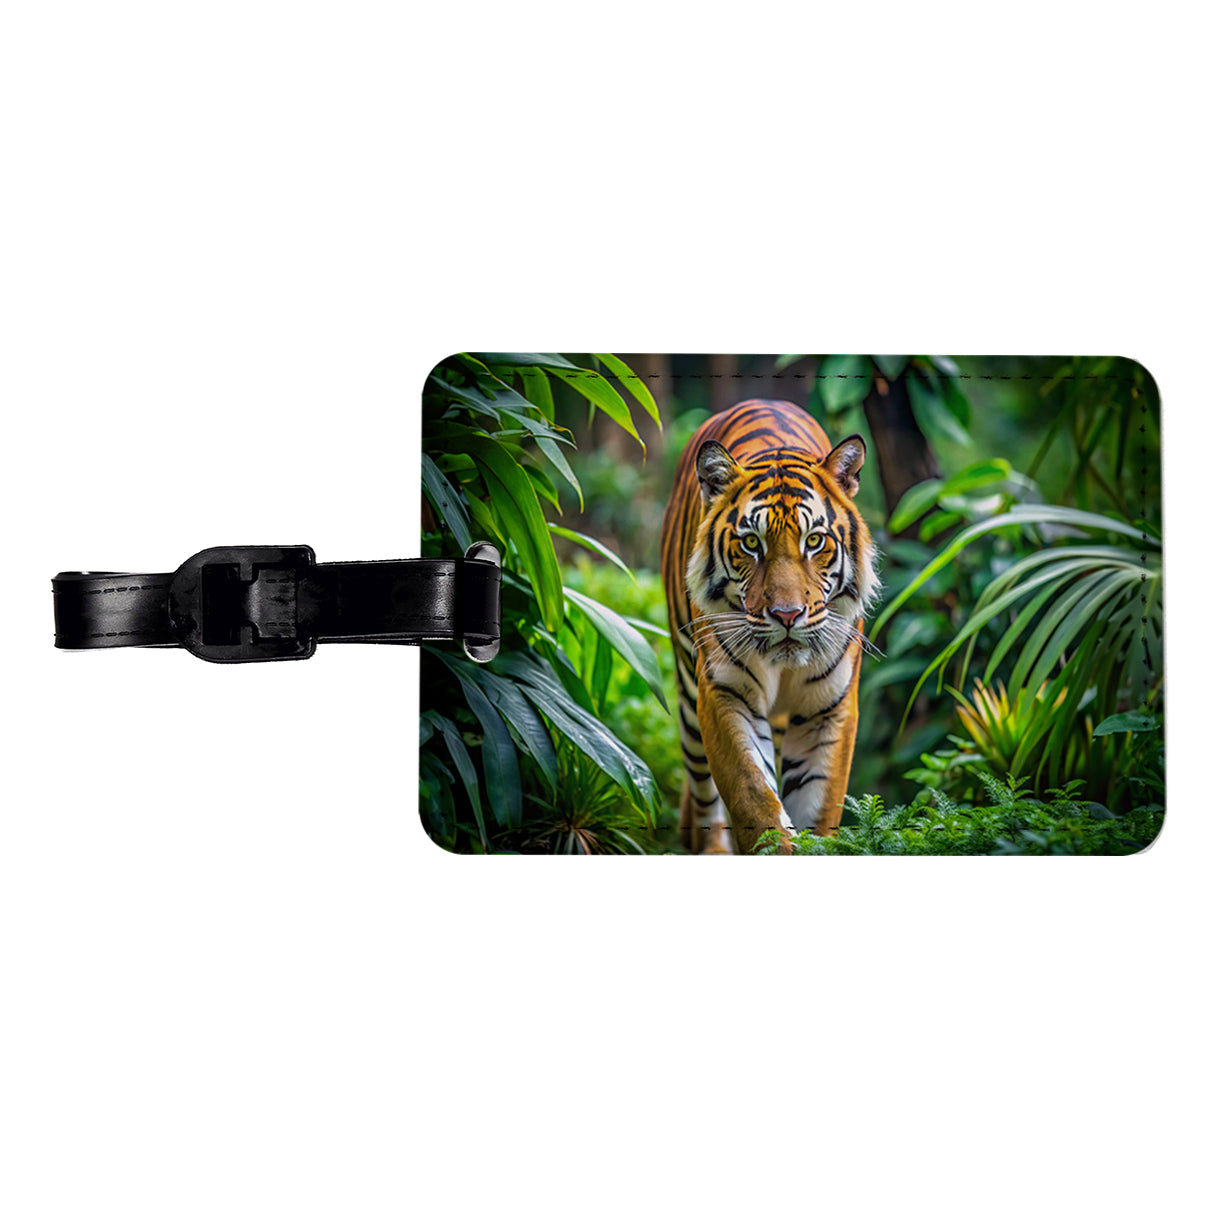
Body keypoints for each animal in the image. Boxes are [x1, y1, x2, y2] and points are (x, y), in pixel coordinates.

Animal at [661, 399, 880, 855]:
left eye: (814, 541)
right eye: (751, 544)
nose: (787, 615)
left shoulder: (828, 709)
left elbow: (819, 807)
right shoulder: (725, 692)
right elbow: (753, 795)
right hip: (689, 701)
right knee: (703, 791)